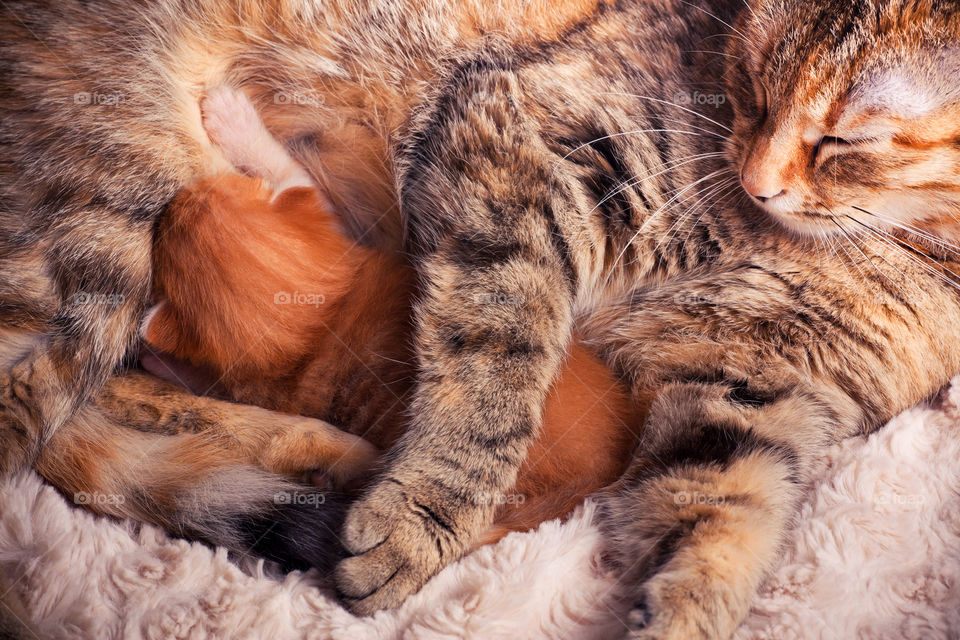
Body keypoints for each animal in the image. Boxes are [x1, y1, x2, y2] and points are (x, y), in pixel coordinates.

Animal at [1, 1, 960, 640]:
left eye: (842, 141)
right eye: (751, 89)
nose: (755, 177)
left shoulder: (751, 386)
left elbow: (724, 513)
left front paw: (684, 612)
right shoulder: (524, 137)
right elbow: (500, 353)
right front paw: (424, 513)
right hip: (97, 241)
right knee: (54, 420)